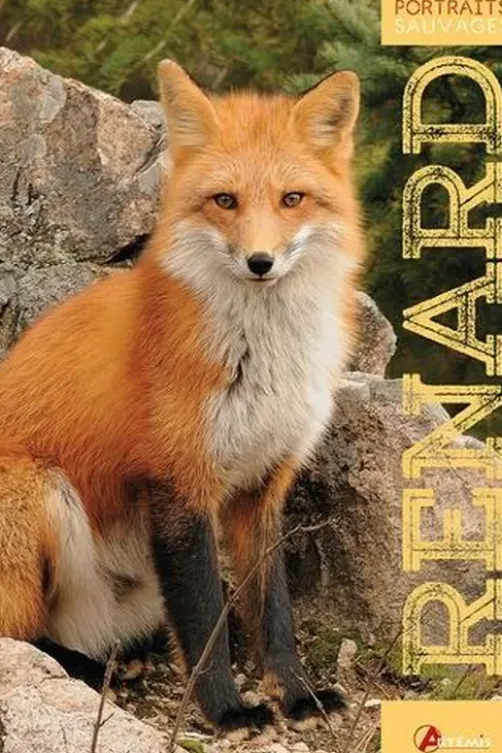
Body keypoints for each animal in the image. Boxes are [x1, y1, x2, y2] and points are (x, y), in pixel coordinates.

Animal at [0, 61, 363, 732]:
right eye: (225, 201)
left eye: (292, 199)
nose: (260, 261)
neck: (260, 358)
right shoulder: (178, 480)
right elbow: (201, 618)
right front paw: (226, 710)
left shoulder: (264, 485)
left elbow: (274, 611)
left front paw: (297, 694)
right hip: (38, 488)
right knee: (19, 635)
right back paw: (84, 669)